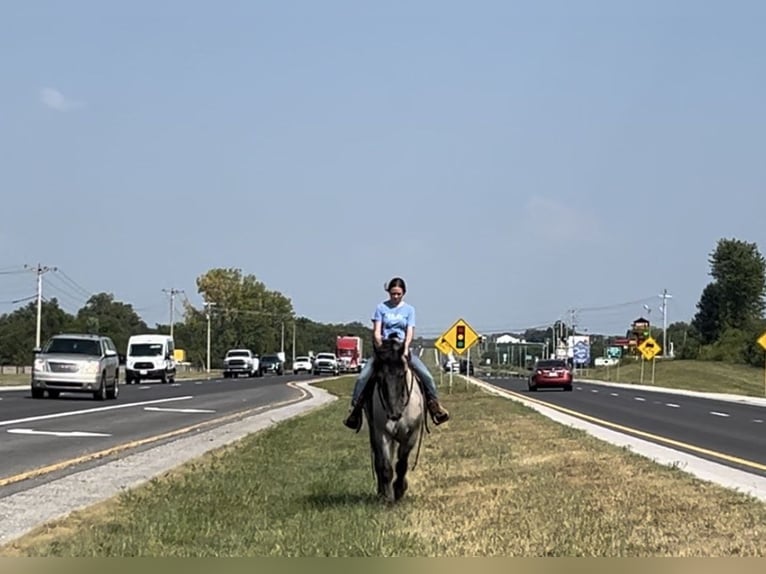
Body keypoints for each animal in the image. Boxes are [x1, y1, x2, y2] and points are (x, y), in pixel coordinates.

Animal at [364, 338, 428, 504]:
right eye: (379, 377)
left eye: (401, 374)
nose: (393, 414)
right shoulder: (382, 434)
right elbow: (386, 466)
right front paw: (387, 496)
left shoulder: (412, 435)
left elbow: (402, 464)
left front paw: (399, 490)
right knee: (378, 461)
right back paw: (381, 491)